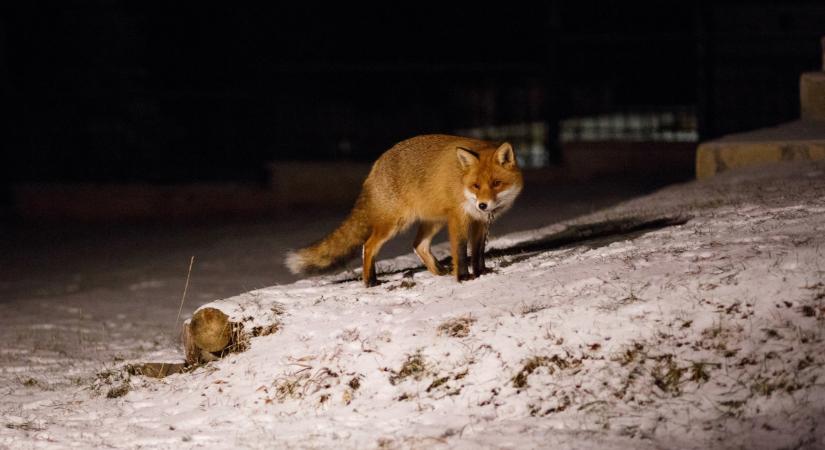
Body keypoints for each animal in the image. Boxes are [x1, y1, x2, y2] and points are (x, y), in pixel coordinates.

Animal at [286, 134, 520, 288]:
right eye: (476, 186)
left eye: (496, 183)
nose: (483, 205)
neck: (462, 184)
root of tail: (376, 165)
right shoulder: (459, 218)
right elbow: (461, 251)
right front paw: (463, 277)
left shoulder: (480, 221)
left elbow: (478, 252)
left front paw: (481, 273)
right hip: (395, 224)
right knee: (368, 246)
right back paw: (370, 281)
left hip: (432, 221)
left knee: (418, 245)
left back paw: (438, 272)